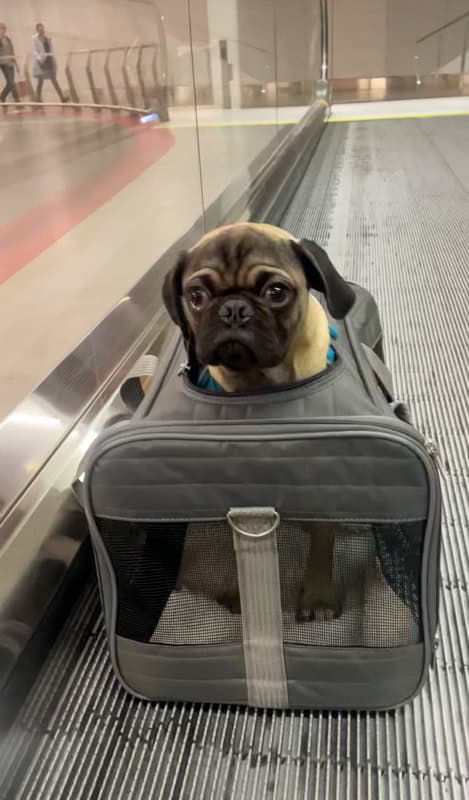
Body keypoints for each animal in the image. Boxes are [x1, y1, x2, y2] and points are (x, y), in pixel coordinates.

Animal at [163, 222, 352, 620]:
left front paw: (317, 597)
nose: (234, 309)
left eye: (276, 292)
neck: (259, 385)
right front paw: (242, 596)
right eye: (196, 295)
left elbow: (322, 540)